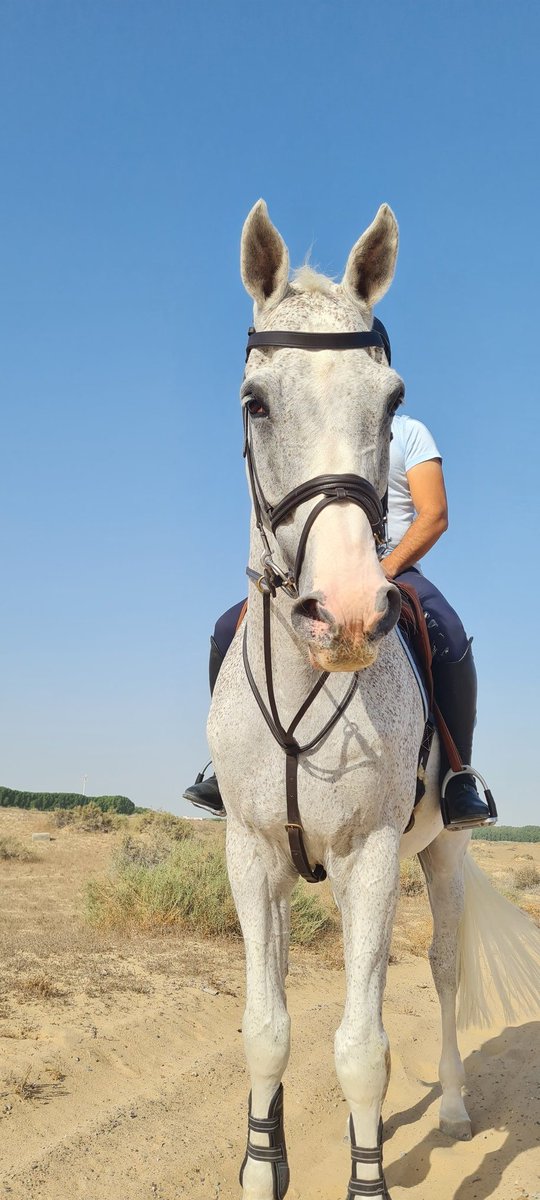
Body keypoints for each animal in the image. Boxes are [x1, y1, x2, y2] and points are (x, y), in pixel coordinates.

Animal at [207, 200, 540, 1200]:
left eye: (393, 402)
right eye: (256, 402)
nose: (350, 611)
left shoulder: (371, 855)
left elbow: (361, 1049)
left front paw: (368, 1179)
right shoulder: (252, 855)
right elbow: (267, 1029)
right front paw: (262, 1165)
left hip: (440, 856)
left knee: (439, 970)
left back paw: (458, 1106)